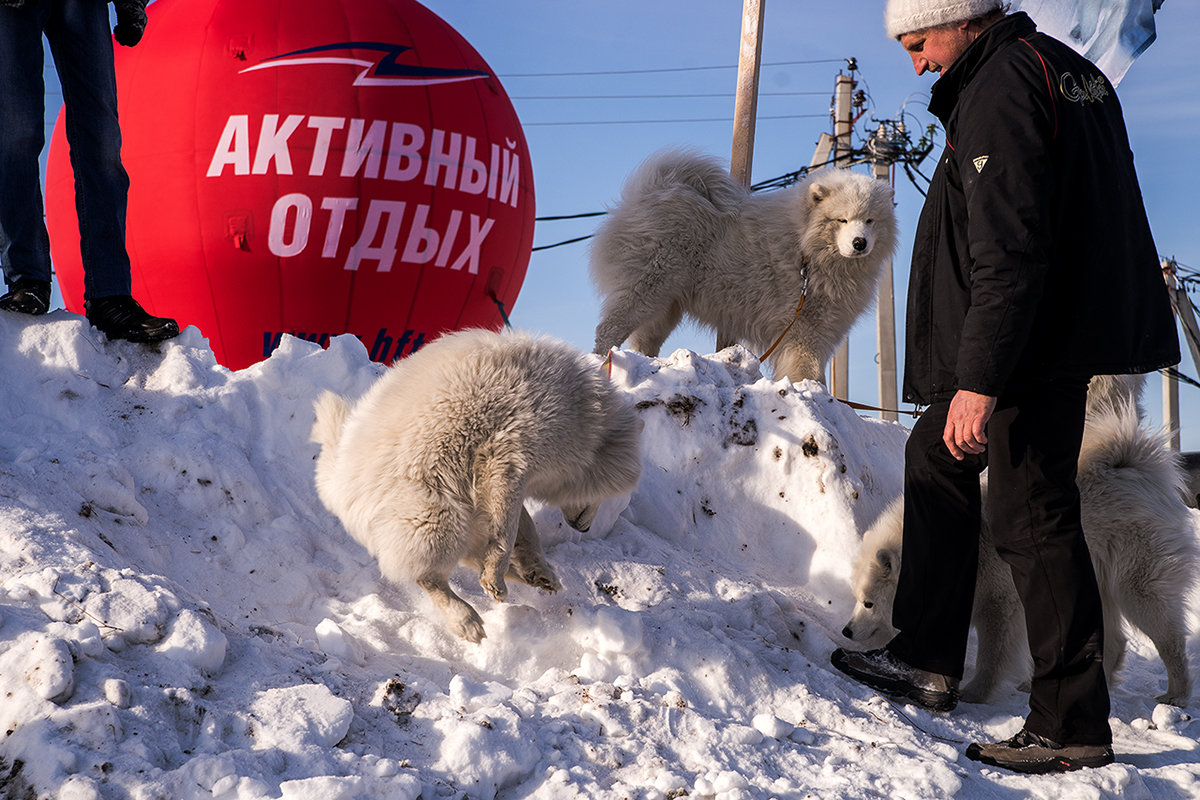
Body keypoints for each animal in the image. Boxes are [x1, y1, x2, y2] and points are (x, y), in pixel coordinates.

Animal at [314, 326, 643, 642]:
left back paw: (531, 578)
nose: (583, 529)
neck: (582, 417)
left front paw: (530, 568)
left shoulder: (505, 474)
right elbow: (507, 532)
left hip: (460, 508)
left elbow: (522, 531)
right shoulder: (508, 458)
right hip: (439, 513)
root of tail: (335, 480)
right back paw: (466, 619)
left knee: (468, 556)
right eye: (611, 496)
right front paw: (496, 577)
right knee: (428, 575)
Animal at [585, 151, 897, 388]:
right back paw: (600, 363)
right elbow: (808, 370)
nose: (860, 243)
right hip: (645, 291)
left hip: (664, 306)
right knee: (608, 330)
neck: (805, 249)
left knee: (642, 341)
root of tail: (650, 191)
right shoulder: (803, 328)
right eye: (841, 220)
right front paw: (813, 392)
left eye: (870, 220)